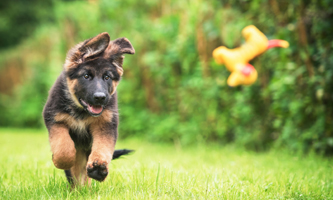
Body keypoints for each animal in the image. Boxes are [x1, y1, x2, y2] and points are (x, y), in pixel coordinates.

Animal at [42, 32, 135, 187]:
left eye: (107, 77)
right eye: (86, 76)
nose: (100, 97)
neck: (82, 111)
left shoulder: (105, 124)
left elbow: (103, 146)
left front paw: (99, 168)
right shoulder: (54, 119)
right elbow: (63, 147)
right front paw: (61, 161)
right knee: (76, 172)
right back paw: (77, 188)